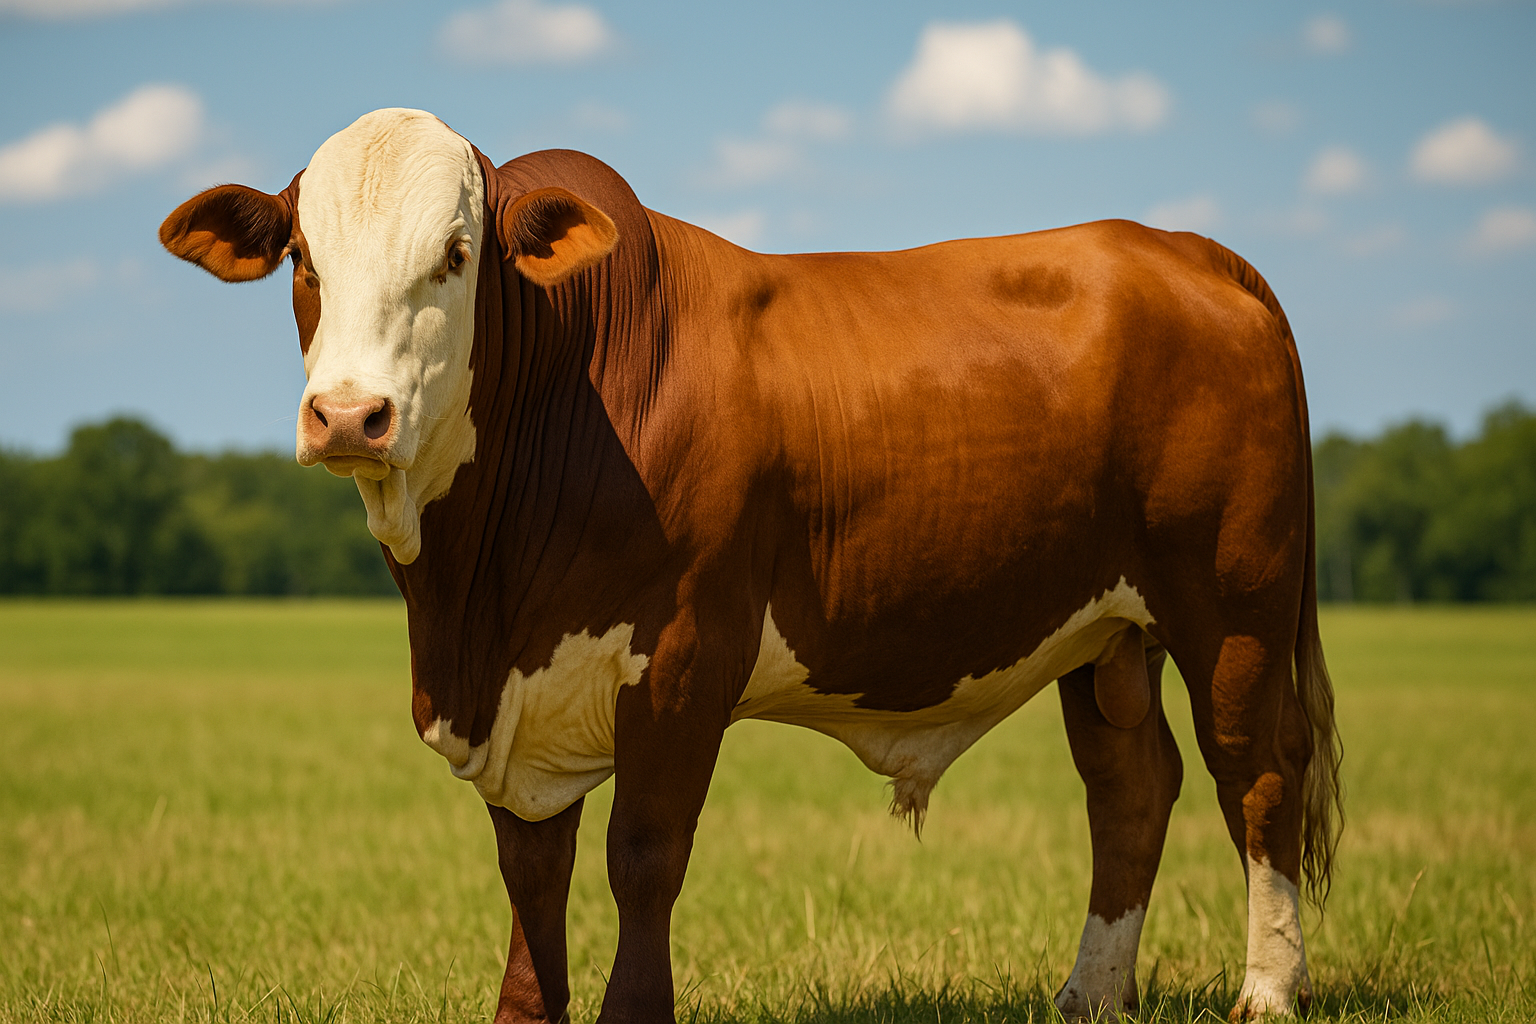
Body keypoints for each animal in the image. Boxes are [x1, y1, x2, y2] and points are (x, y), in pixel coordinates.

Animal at [160, 108, 1342, 1023]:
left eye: (456, 253)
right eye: (304, 259)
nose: (348, 414)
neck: (473, 596)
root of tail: (1181, 247)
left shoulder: (686, 659)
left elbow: (643, 854)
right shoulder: (520, 694)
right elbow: (531, 872)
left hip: (1232, 606)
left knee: (1256, 771)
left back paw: (1267, 991)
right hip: (1105, 633)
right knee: (1131, 786)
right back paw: (1091, 992)